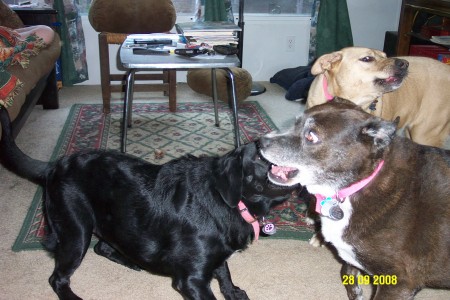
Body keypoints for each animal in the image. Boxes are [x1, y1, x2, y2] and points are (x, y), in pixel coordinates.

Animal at [0, 106, 298, 300]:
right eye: (258, 155)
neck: (230, 202)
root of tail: (54, 165)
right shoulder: (191, 280)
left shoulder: (214, 258)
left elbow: (224, 272)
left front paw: (233, 292)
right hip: (76, 232)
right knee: (58, 278)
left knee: (102, 247)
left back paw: (130, 260)